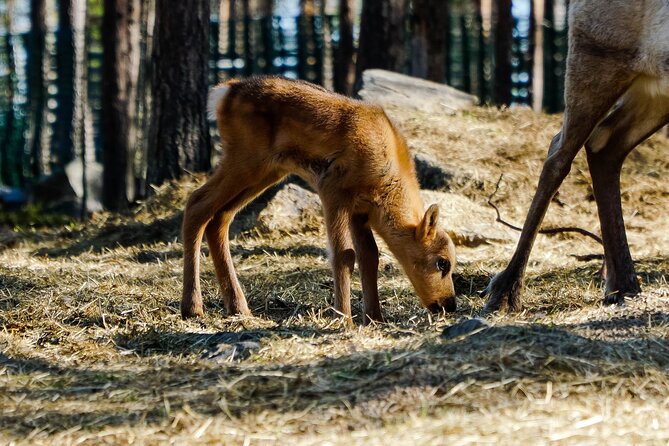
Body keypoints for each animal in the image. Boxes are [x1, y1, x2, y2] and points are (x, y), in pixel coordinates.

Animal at [180, 75, 456, 322]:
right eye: (442, 263)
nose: (449, 304)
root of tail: (223, 93)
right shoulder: (333, 188)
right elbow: (344, 255)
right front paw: (344, 319)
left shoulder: (360, 211)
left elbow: (370, 256)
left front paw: (374, 318)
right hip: (245, 160)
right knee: (196, 203)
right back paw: (193, 307)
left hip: (266, 171)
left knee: (220, 217)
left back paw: (237, 307)